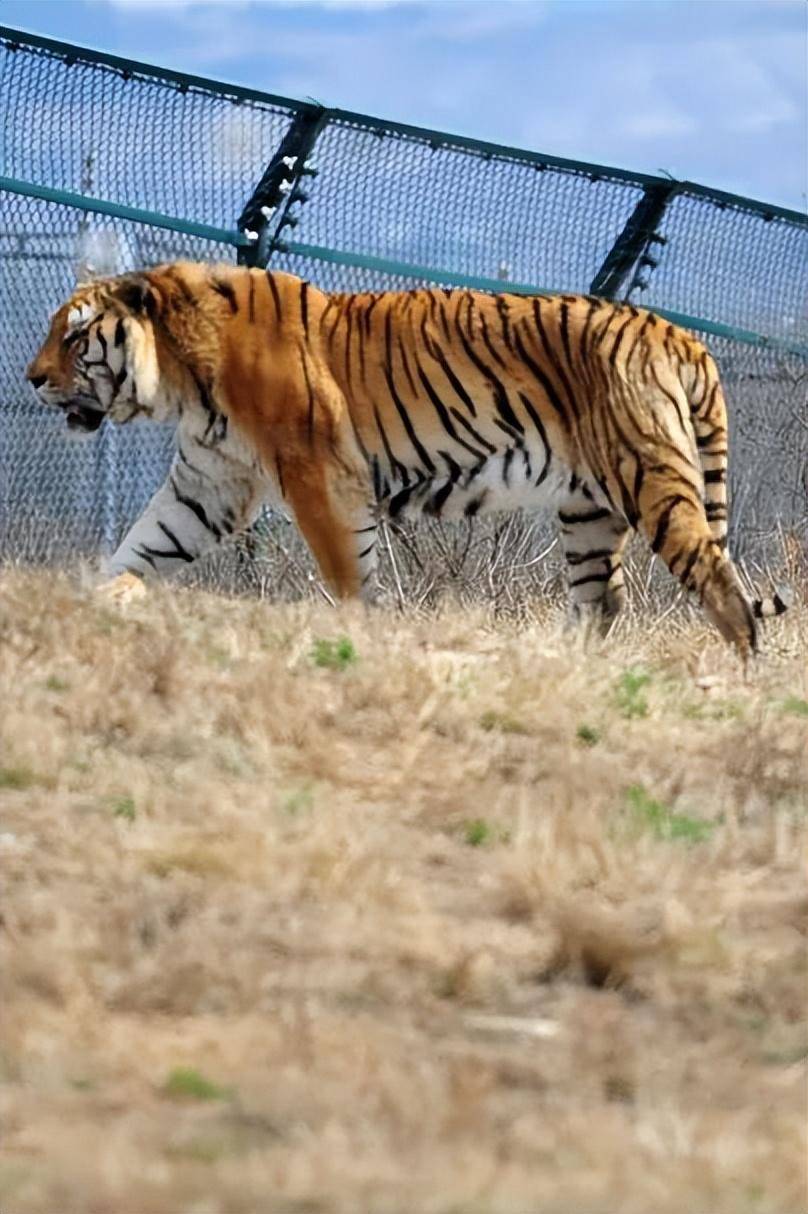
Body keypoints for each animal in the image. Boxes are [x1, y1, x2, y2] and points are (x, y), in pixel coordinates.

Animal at [26, 257, 786, 655]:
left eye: (75, 337)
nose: (31, 378)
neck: (180, 372)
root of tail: (680, 334)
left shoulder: (319, 480)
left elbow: (347, 576)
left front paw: (359, 639)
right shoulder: (209, 482)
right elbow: (143, 544)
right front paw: (94, 600)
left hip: (649, 478)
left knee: (725, 591)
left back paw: (741, 681)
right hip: (589, 516)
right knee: (602, 605)